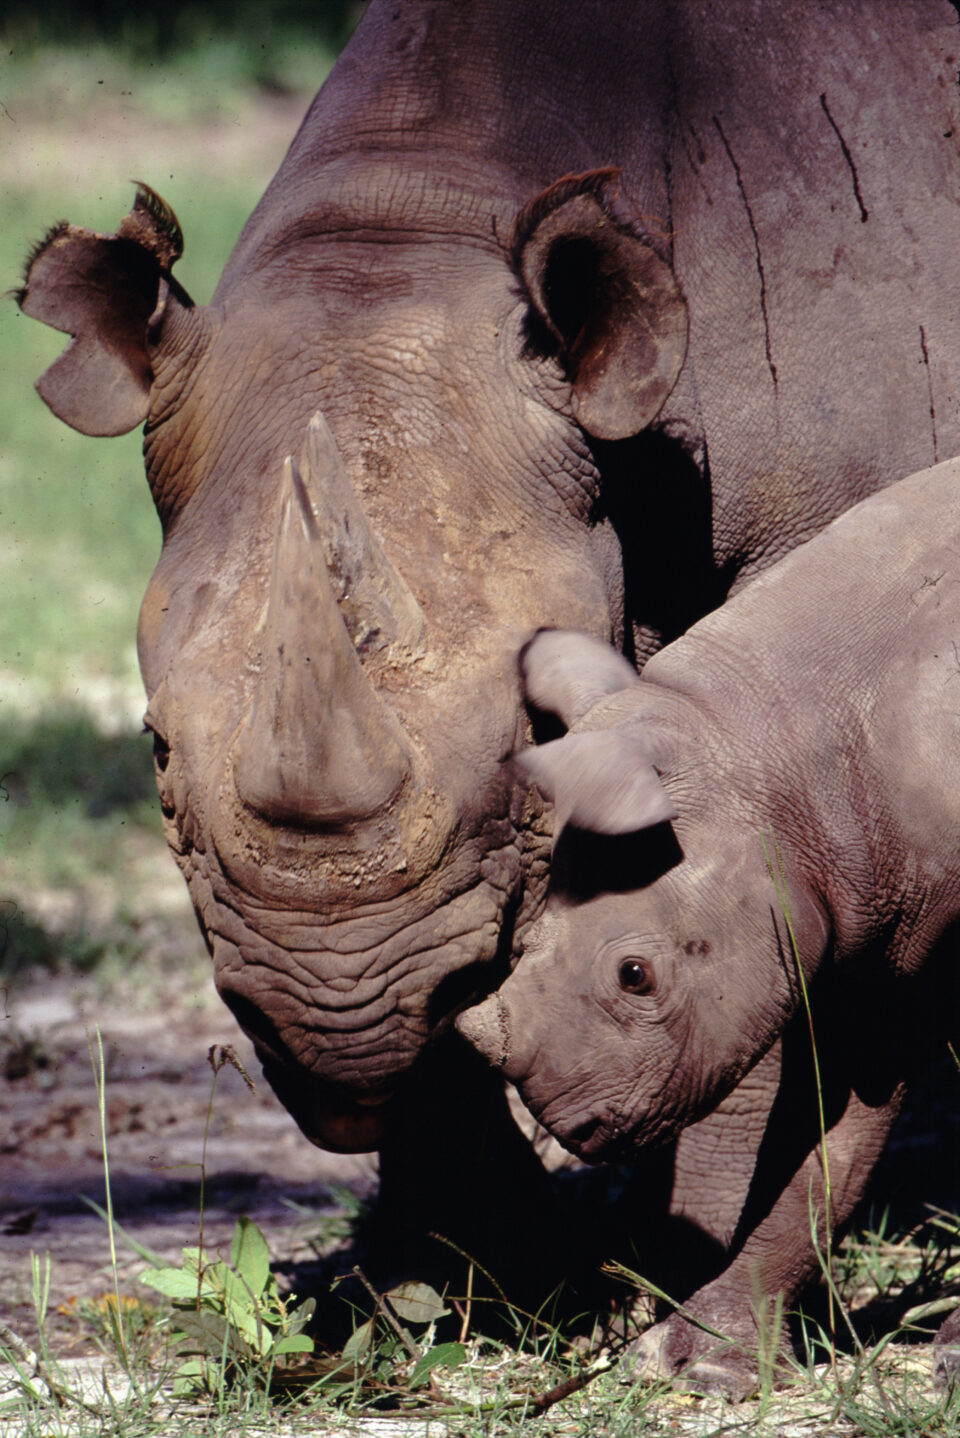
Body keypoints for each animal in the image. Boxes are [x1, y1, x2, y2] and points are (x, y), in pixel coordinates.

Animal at [17, 0, 960, 1271]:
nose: (331, 1017)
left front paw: (672, 1268)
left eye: (530, 741)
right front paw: (462, 1275)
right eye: (156, 752)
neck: (421, 214)